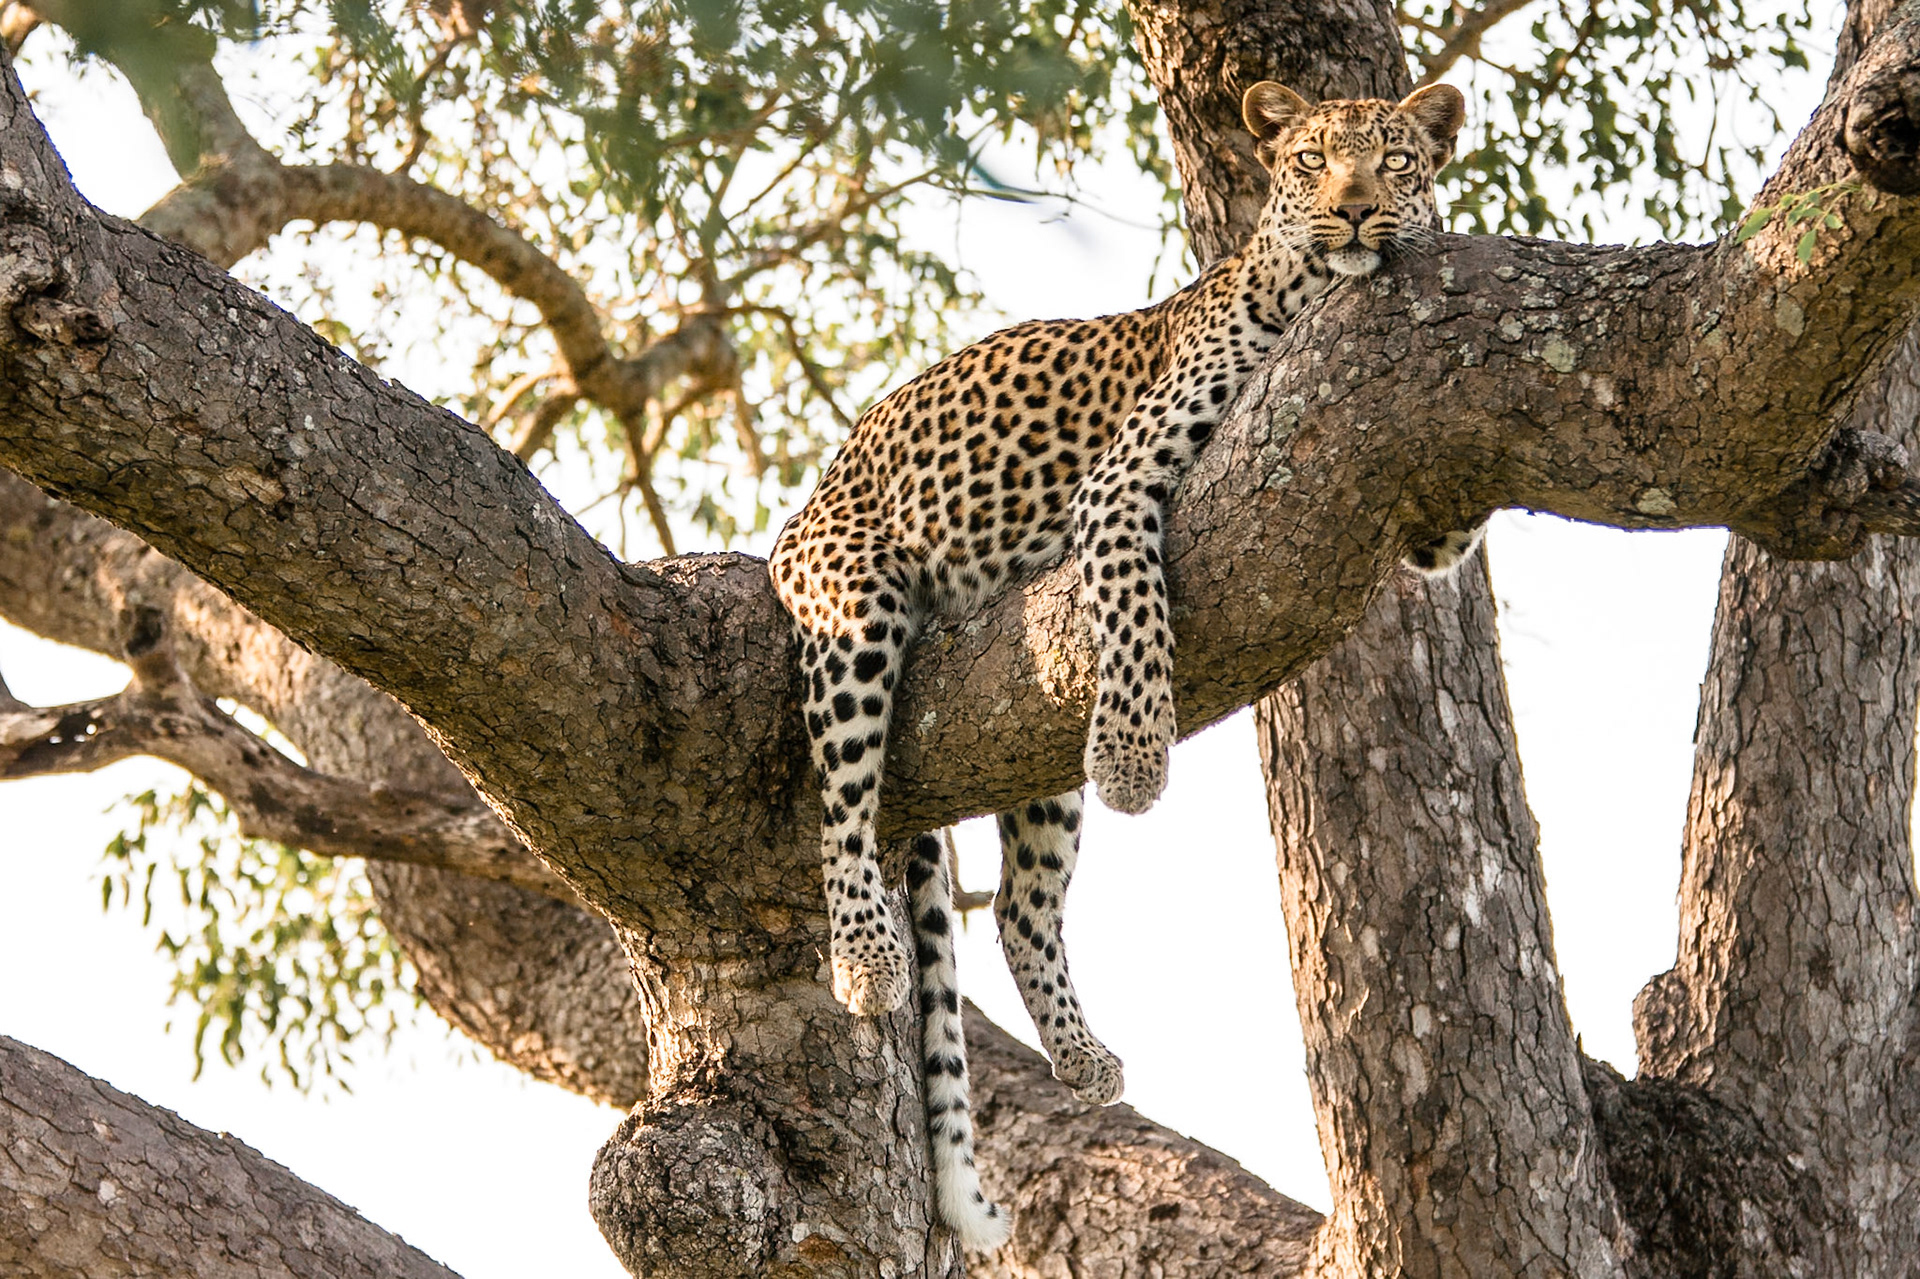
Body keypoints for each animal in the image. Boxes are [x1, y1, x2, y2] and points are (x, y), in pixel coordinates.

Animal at [769, 79, 1474, 1250]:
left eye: (1398, 160)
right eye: (1314, 160)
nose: (1357, 211)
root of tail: (808, 500)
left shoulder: (1421, 520)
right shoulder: (1120, 485)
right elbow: (1138, 605)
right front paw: (1141, 759)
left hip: (1029, 751)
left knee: (1020, 906)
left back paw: (1083, 1055)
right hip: (852, 607)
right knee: (844, 809)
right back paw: (866, 957)